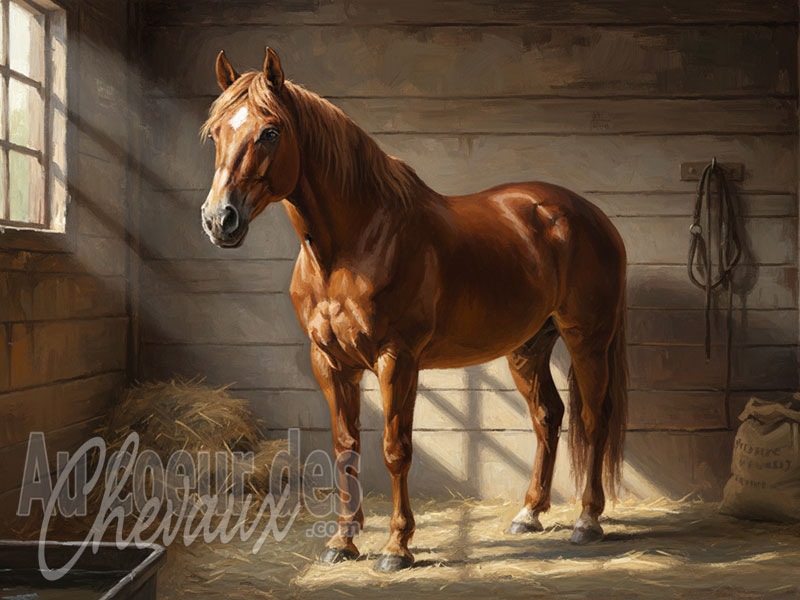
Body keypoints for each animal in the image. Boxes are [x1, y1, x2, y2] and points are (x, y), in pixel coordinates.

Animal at [200, 47, 628, 572]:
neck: (354, 245)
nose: (219, 219)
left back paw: (588, 520)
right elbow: (346, 448)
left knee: (594, 418)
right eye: (215, 132)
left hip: (587, 337)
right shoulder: (331, 363)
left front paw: (396, 547)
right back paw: (528, 514)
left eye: (270, 131)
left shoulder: (397, 359)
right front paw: (342, 541)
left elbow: (395, 449)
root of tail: (587, 214)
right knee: (548, 415)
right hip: (528, 346)